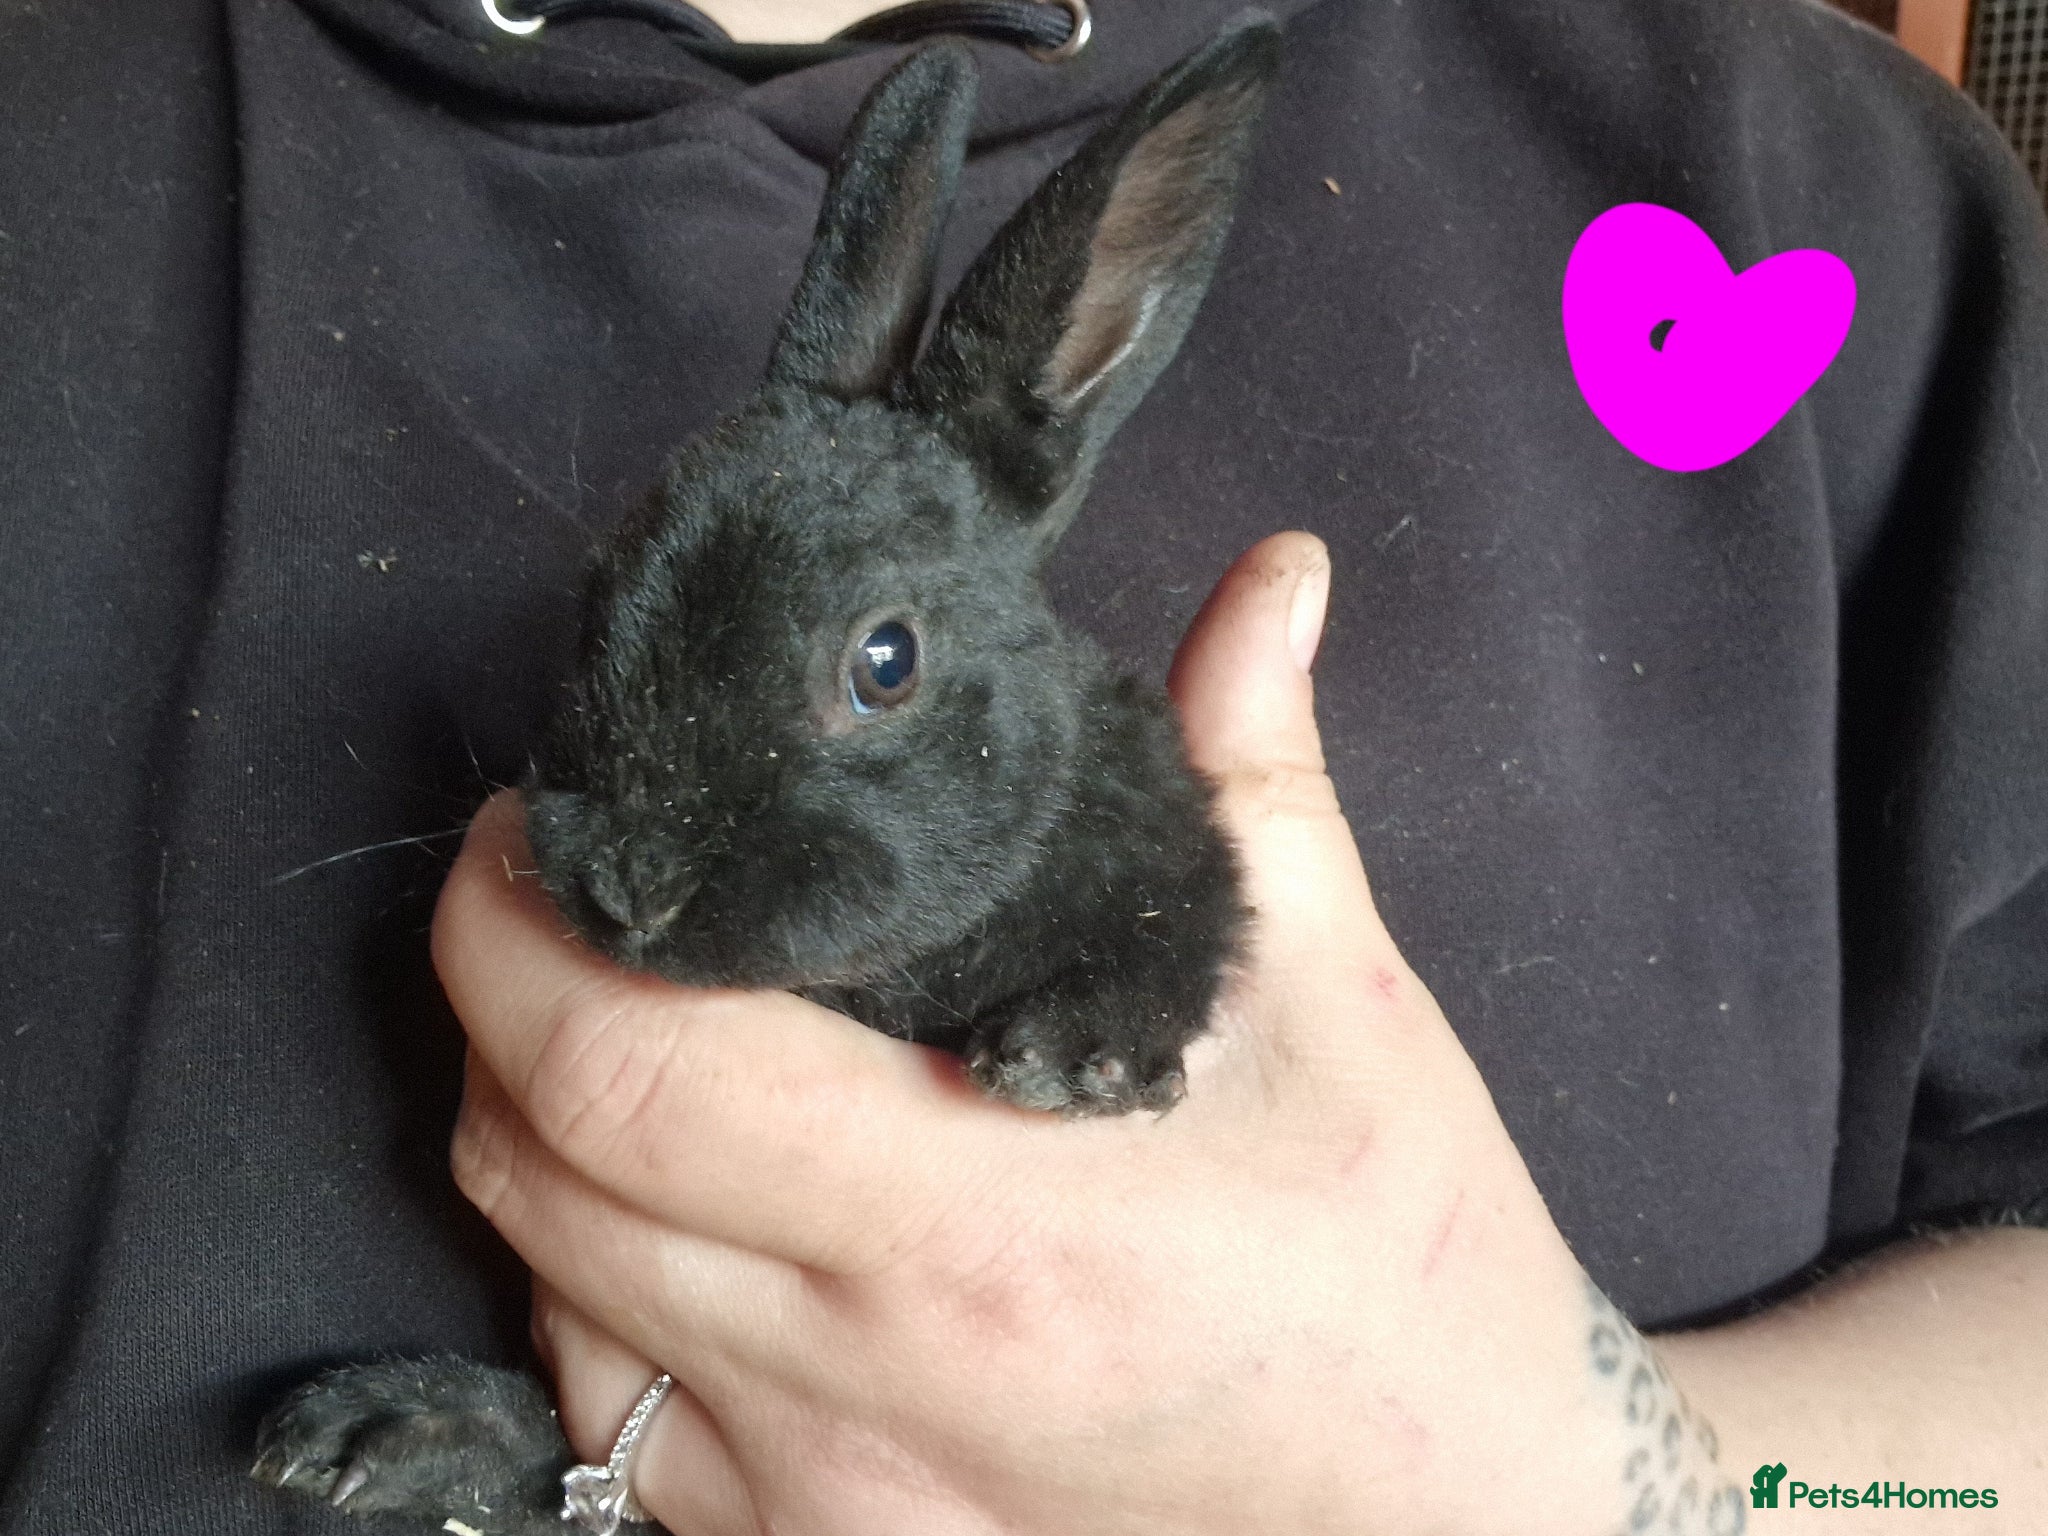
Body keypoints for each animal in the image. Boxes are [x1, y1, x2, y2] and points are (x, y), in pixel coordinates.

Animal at [253, 14, 1281, 1532]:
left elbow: (1182, 936)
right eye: (601, 596)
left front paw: (1077, 1062)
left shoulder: (1181, 856)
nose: (631, 889)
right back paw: (386, 1432)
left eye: (886, 661)